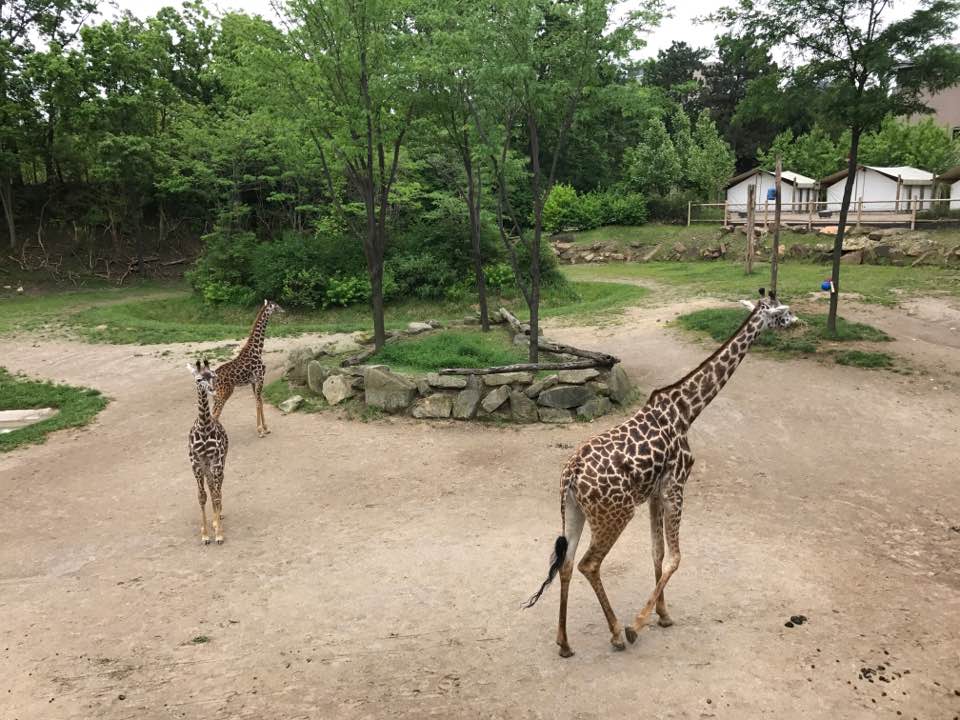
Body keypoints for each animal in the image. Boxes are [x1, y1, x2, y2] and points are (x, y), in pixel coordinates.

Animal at [212, 299, 283, 437]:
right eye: (276, 305)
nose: (283, 310)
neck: (257, 349)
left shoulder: (254, 382)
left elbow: (259, 401)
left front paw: (265, 428)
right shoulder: (260, 378)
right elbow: (258, 403)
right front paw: (260, 430)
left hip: (217, 394)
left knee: (211, 413)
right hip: (225, 392)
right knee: (215, 414)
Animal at [524, 289, 798, 657]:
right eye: (783, 311)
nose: (798, 322)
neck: (687, 411)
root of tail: (570, 476)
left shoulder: (655, 491)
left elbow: (657, 553)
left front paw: (664, 614)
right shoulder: (676, 485)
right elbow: (675, 558)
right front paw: (637, 624)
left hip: (574, 511)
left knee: (565, 564)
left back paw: (564, 643)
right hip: (615, 514)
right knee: (588, 564)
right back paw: (616, 633)